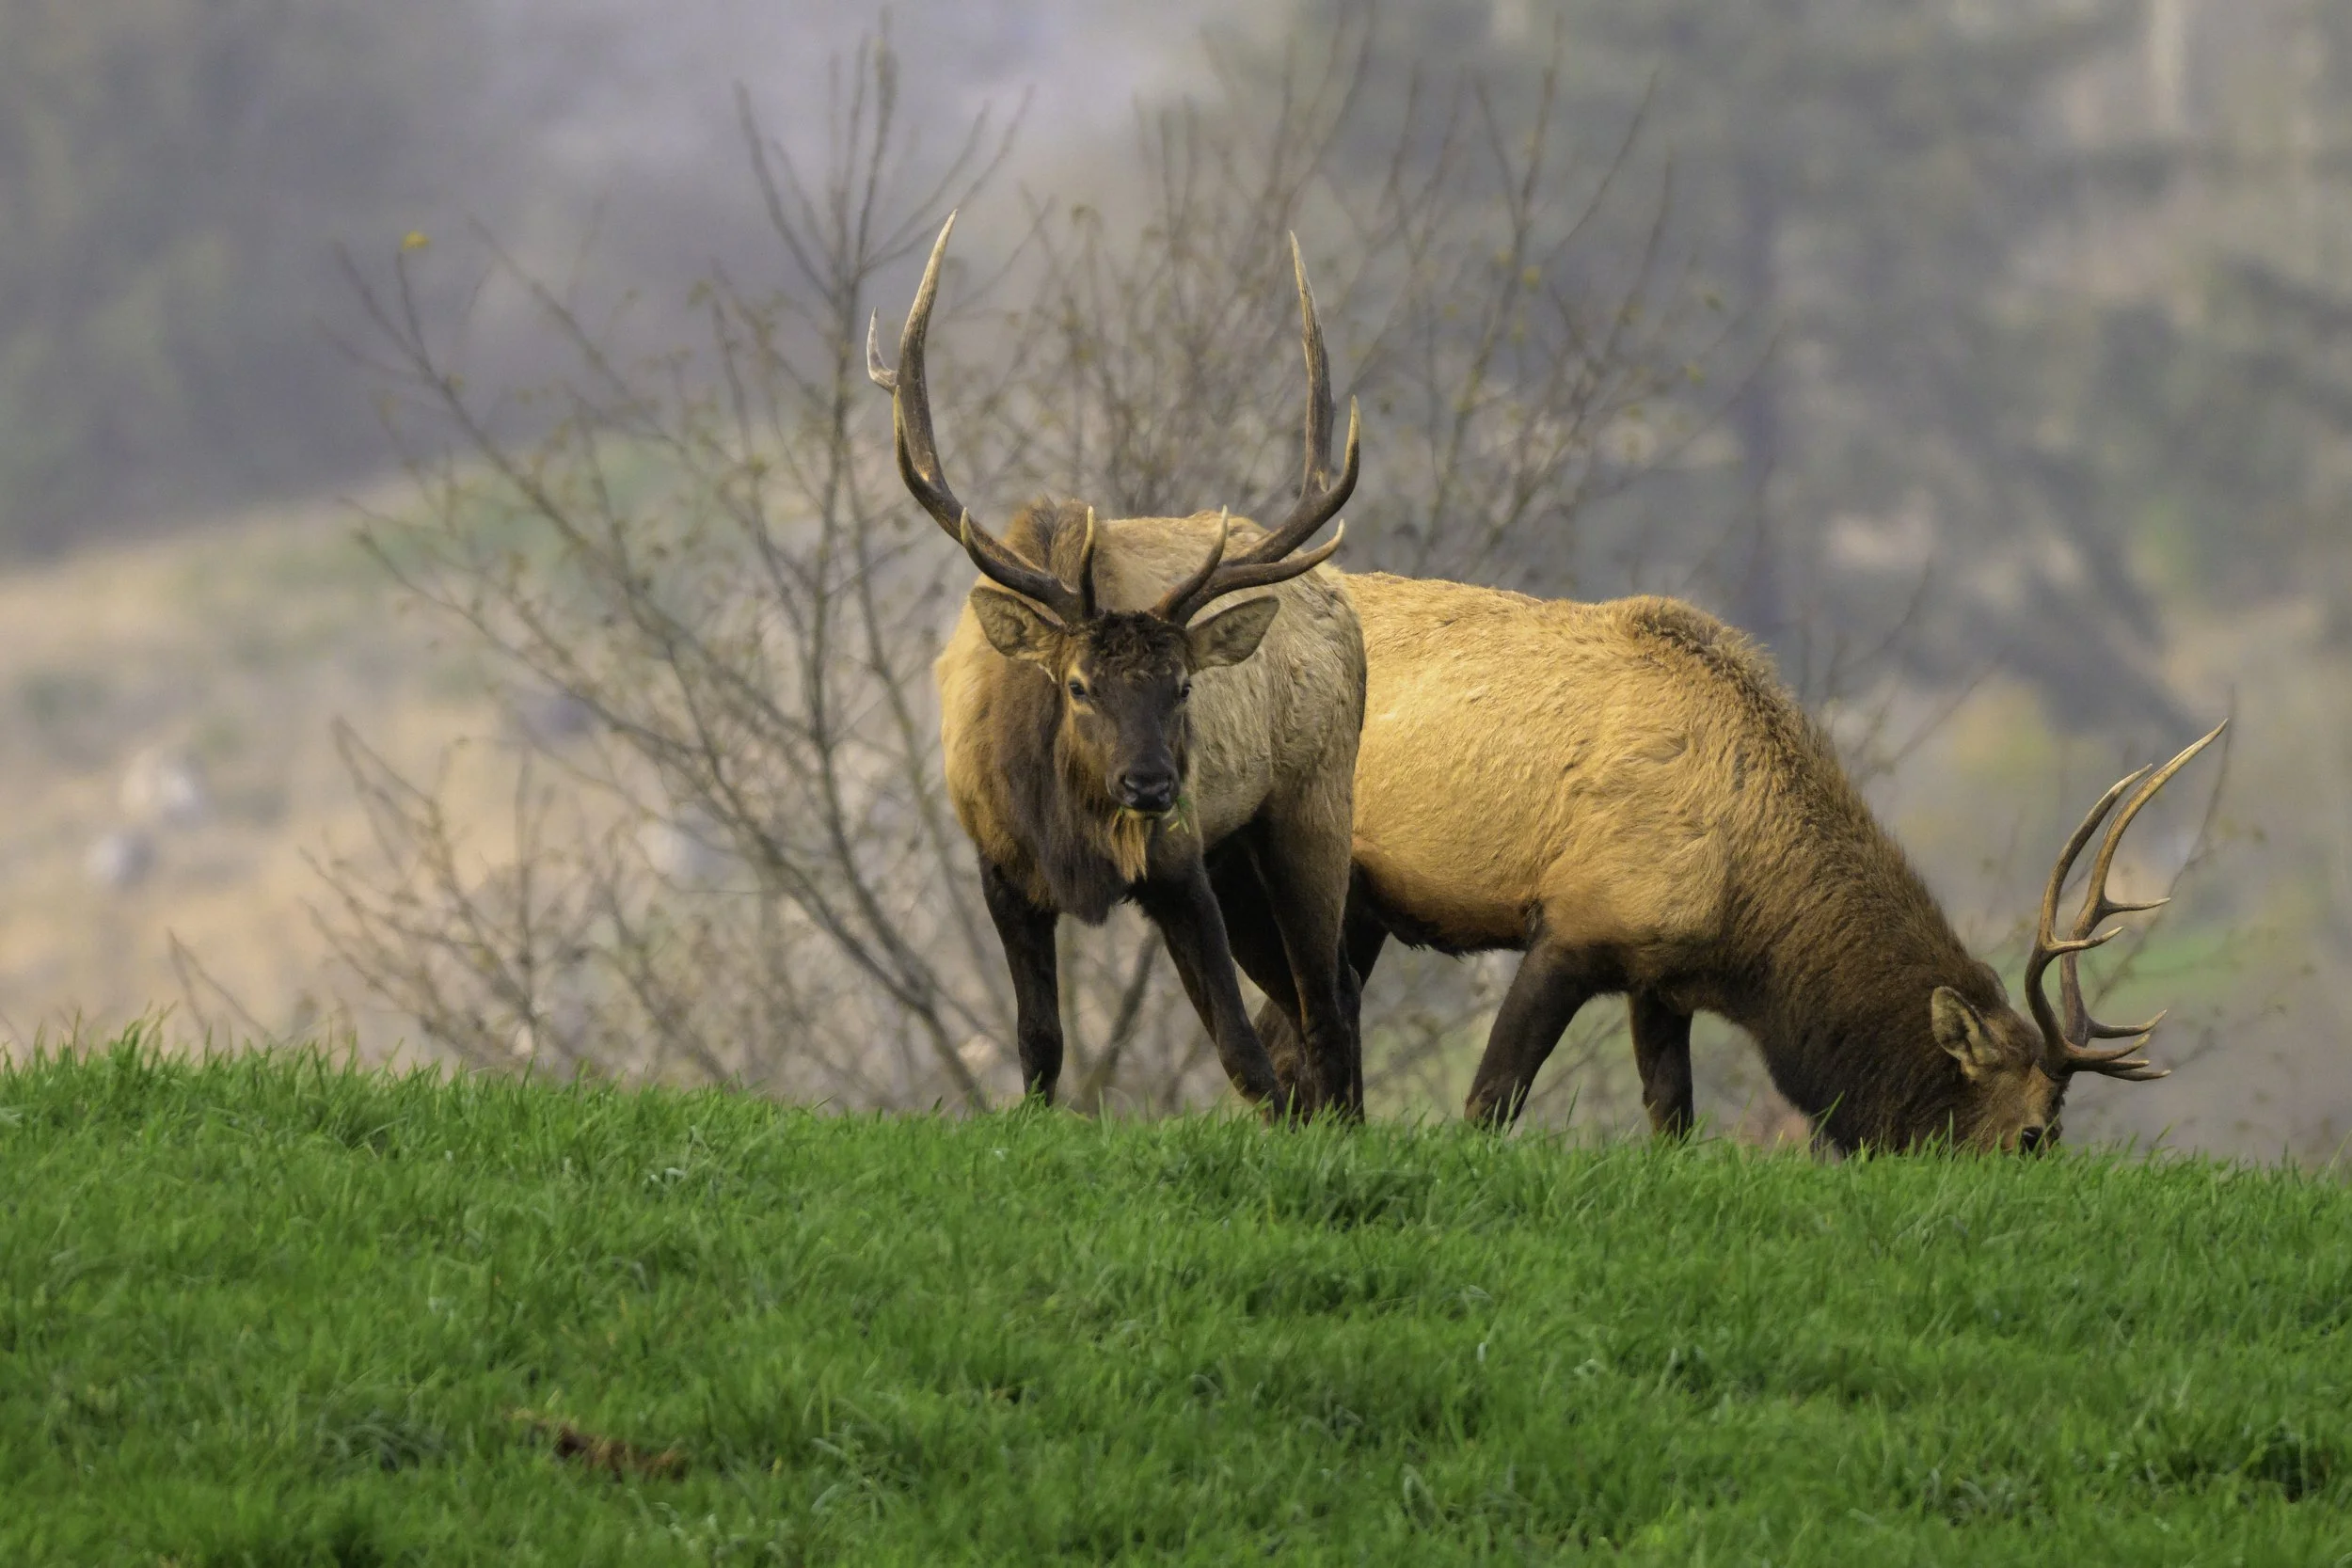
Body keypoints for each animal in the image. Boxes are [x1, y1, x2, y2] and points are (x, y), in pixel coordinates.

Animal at [870, 216, 1369, 1117]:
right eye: (1077, 686)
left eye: (1183, 685)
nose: (1150, 783)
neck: (1069, 832)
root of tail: (1343, 601)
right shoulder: (999, 867)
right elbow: (1039, 1043)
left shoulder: (1180, 863)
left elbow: (1241, 1054)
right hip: (1240, 855)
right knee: (1320, 990)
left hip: (1310, 801)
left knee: (1327, 994)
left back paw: (1344, 1124)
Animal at [1250, 574, 2223, 1151]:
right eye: (2032, 1133)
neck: (1751, 939)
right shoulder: (1576, 923)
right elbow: (1491, 1099)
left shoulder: (1658, 977)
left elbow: (1673, 1119)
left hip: (1354, 904)